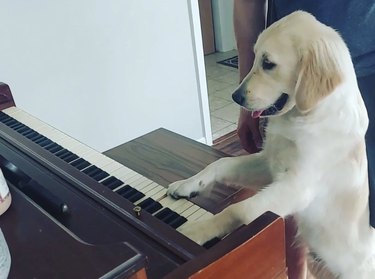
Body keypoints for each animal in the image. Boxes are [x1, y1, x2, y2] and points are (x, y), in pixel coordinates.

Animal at [169, 11, 375, 279]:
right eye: (255, 56)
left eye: (268, 63)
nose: (235, 97)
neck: (305, 116)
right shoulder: (269, 164)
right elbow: (220, 163)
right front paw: (187, 185)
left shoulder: (296, 187)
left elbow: (238, 210)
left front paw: (194, 231)